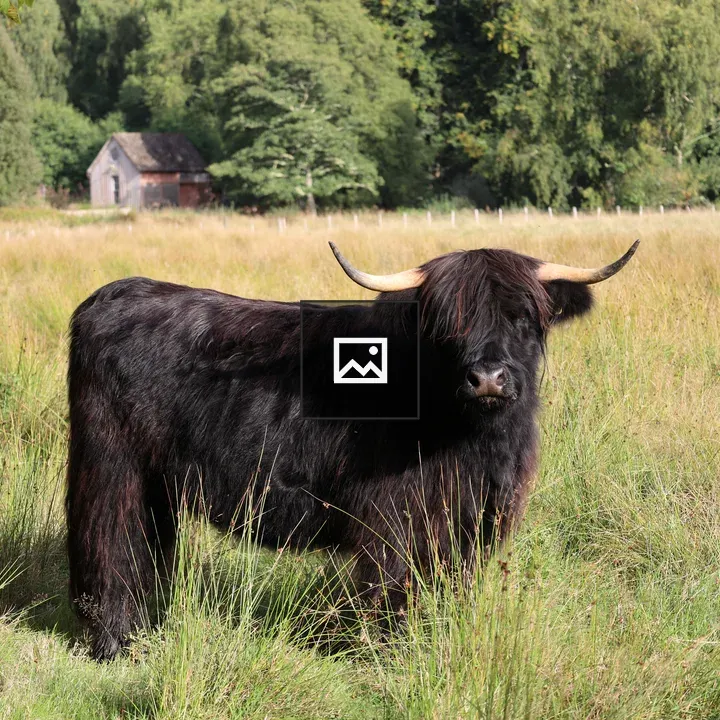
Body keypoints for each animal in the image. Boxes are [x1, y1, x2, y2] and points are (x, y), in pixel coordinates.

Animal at [66, 239, 638, 660]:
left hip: (158, 482)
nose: (488, 379)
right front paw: (390, 655)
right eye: (449, 326)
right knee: (110, 542)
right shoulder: (393, 516)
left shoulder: (468, 519)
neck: (476, 440)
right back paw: (117, 645)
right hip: (113, 466)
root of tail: (113, 293)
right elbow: (391, 586)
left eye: (523, 319)